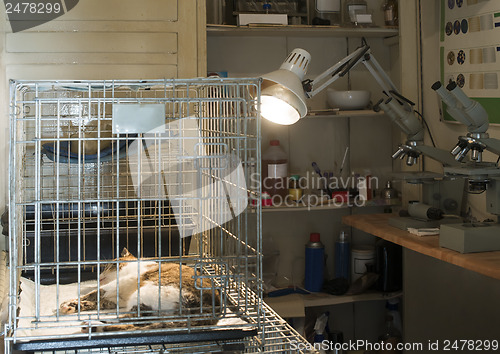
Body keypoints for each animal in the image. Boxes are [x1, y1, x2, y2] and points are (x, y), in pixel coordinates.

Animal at [59, 249, 220, 332]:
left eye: (109, 265)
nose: (99, 277)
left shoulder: (124, 281)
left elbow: (96, 293)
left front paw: (67, 303)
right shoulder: (117, 300)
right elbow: (98, 301)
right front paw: (72, 306)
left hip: (146, 293)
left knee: (133, 321)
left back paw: (93, 325)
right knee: (137, 323)